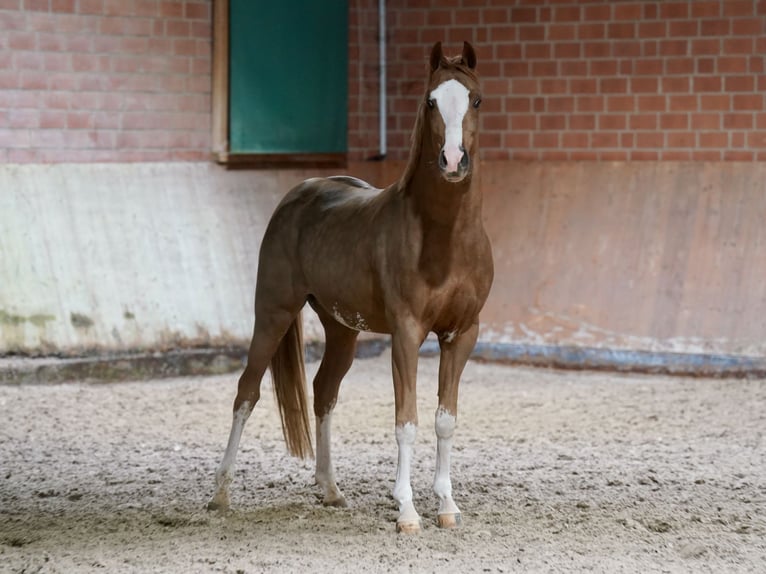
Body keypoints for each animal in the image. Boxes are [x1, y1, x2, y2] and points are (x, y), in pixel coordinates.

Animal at [210, 41, 496, 536]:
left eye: (475, 100)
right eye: (430, 101)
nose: (453, 160)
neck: (443, 237)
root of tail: (300, 193)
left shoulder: (462, 334)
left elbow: (445, 420)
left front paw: (446, 505)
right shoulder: (406, 334)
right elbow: (406, 421)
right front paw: (407, 511)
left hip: (342, 329)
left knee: (324, 392)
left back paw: (330, 489)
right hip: (272, 313)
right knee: (246, 392)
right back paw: (221, 495)